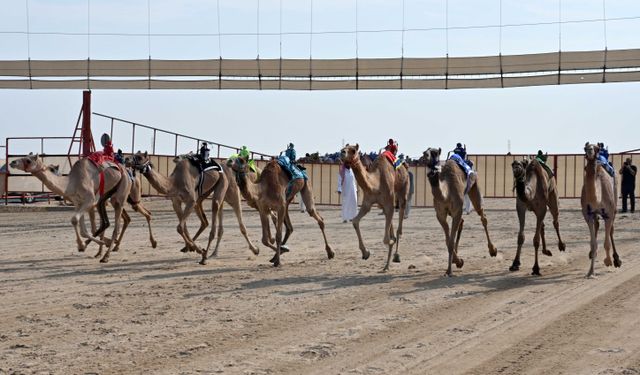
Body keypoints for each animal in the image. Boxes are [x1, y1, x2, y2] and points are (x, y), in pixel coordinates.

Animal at [340, 145, 410, 274]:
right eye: (344, 147)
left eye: (353, 150)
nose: (341, 153)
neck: (375, 184)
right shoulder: (368, 203)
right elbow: (355, 221)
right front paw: (365, 253)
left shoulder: (389, 203)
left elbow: (386, 239)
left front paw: (391, 242)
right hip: (383, 205)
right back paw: (386, 265)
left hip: (403, 190)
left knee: (399, 227)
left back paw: (396, 256)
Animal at [422, 148, 498, 278]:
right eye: (425, 151)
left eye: (435, 153)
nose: (424, 156)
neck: (446, 193)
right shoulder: (440, 215)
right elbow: (448, 241)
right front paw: (457, 262)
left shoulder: (457, 210)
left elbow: (450, 242)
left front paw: (449, 271)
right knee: (462, 222)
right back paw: (455, 259)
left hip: (474, 188)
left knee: (483, 217)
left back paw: (493, 250)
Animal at [580, 142, 620, 278]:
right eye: (585, 148)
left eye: (597, 149)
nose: (590, 150)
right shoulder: (588, 215)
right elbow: (593, 243)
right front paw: (590, 272)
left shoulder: (608, 213)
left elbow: (607, 242)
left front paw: (608, 261)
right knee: (597, 225)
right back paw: (592, 254)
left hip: (615, 203)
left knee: (611, 230)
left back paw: (616, 260)